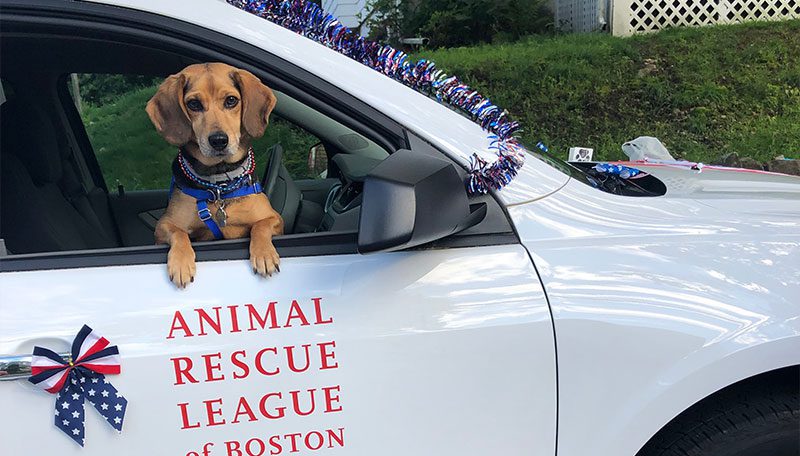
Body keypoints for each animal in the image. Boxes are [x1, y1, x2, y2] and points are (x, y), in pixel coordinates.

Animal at [147, 62, 284, 286]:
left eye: (231, 100)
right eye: (193, 104)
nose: (219, 140)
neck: (219, 183)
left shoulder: (274, 218)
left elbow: (260, 226)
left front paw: (264, 254)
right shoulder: (164, 225)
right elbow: (178, 233)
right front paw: (180, 262)